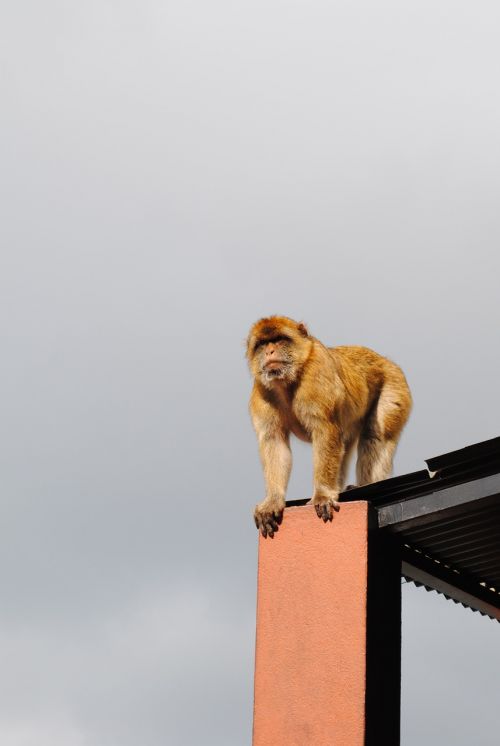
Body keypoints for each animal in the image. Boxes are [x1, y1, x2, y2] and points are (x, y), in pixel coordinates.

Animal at [247, 314, 414, 536]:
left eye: (279, 339)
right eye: (262, 344)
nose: (269, 352)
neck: (287, 382)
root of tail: (386, 361)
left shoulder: (316, 377)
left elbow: (325, 431)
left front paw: (323, 495)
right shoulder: (262, 390)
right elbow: (274, 442)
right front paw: (272, 501)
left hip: (394, 386)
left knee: (376, 436)